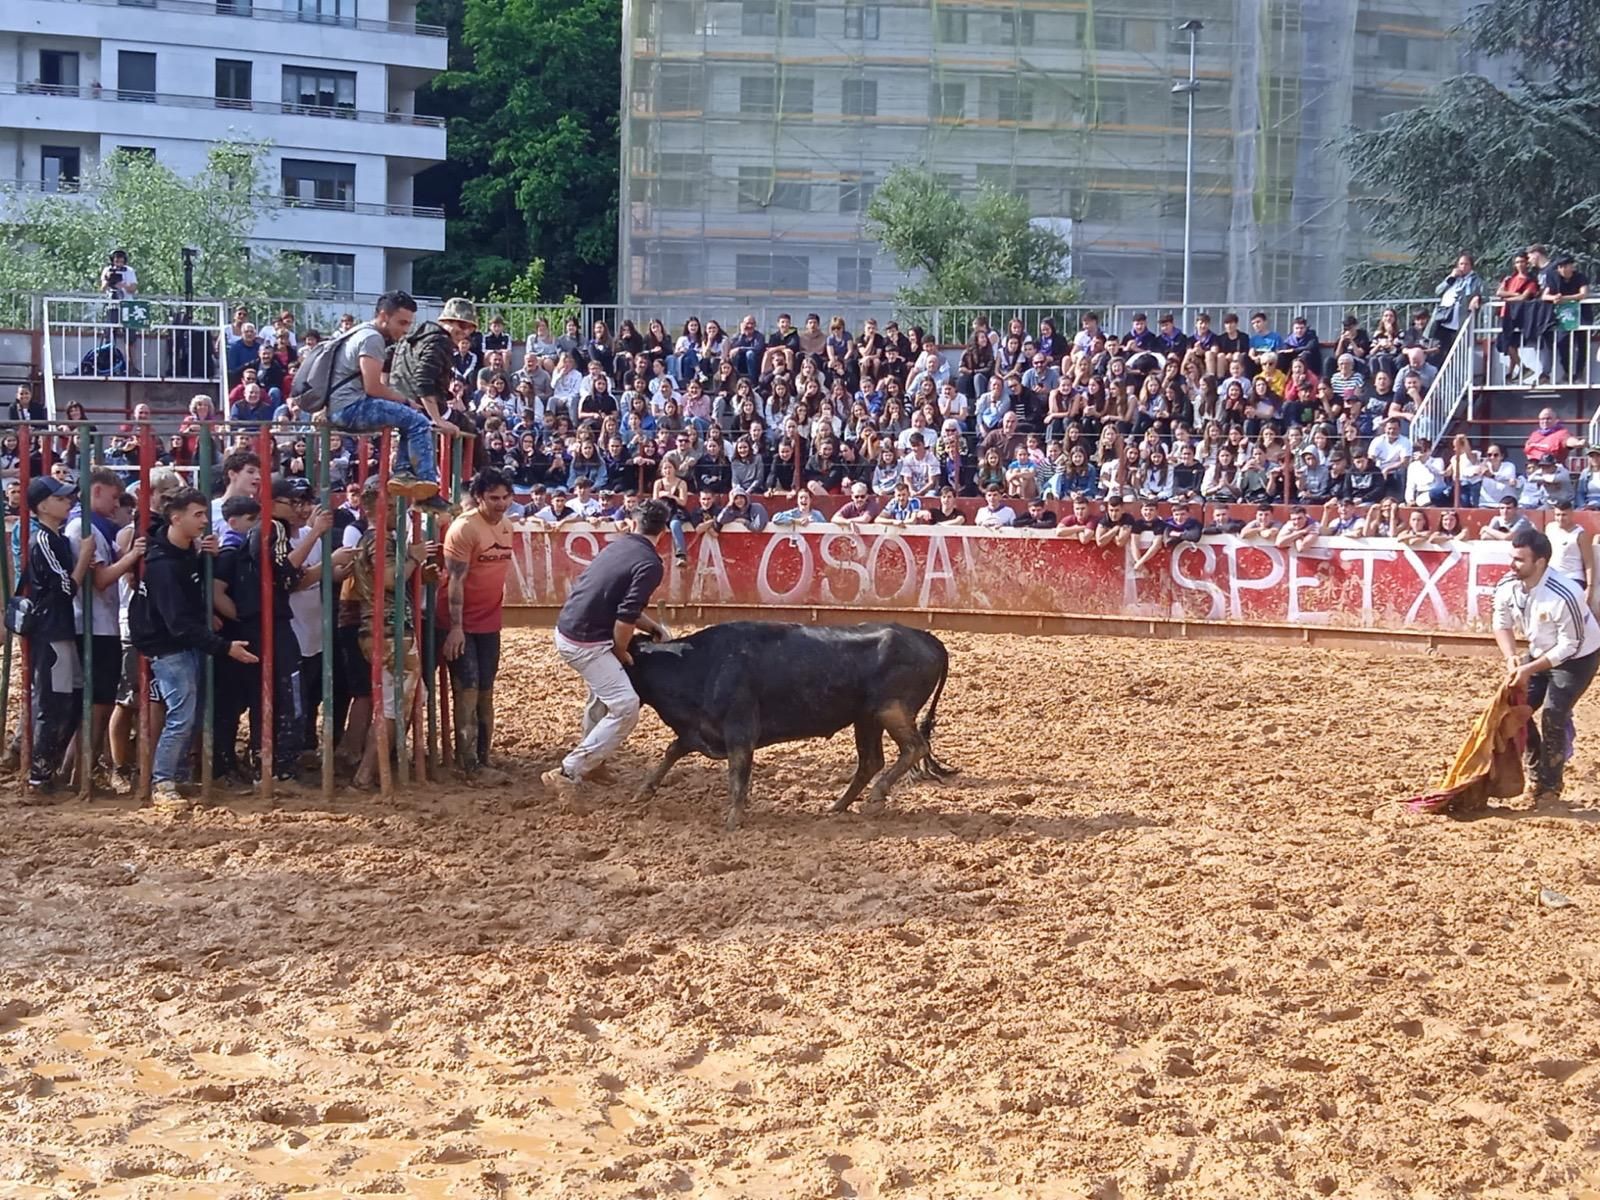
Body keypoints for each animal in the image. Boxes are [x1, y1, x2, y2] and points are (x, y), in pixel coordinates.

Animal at [620, 624, 947, 832]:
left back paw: (876, 794)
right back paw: (837, 806)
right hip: (866, 718)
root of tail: (929, 639)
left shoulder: (740, 731)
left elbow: (737, 776)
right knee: (871, 761)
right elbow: (672, 751)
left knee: (915, 747)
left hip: (891, 710)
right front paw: (643, 791)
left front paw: (733, 820)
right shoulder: (697, 731)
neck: (699, 664)